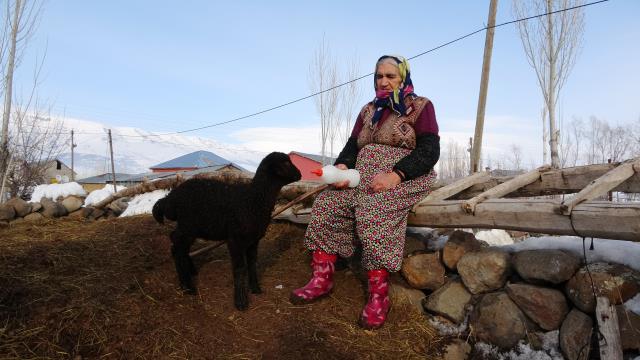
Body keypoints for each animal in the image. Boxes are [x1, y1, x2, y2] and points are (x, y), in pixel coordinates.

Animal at [151, 152, 302, 310]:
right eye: (286, 163)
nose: (299, 174)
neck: (253, 199)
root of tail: (170, 199)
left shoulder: (253, 240)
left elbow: (252, 263)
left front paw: (255, 288)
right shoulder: (235, 239)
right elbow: (240, 268)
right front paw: (241, 302)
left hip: (188, 228)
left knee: (176, 244)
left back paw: (190, 273)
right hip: (188, 227)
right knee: (178, 249)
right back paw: (188, 287)